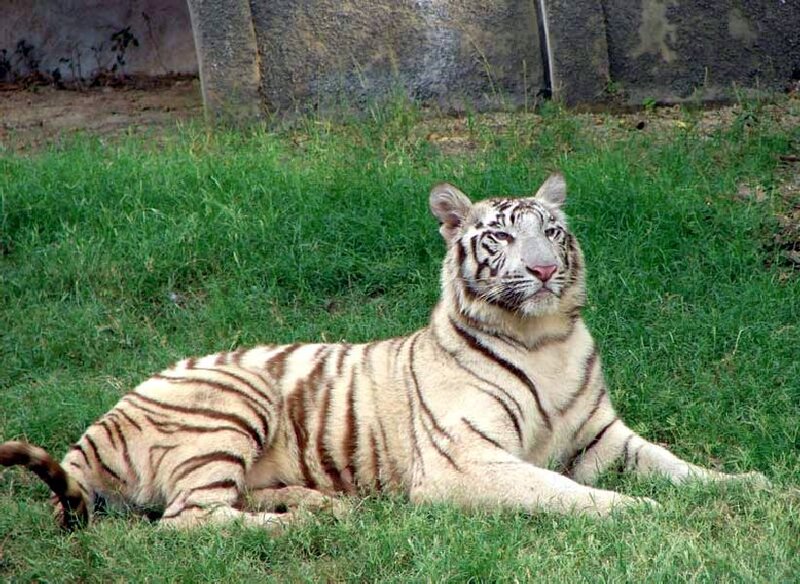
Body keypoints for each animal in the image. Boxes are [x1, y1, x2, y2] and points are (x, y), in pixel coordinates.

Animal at [1, 173, 768, 531]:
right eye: (502, 237)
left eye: (552, 231)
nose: (547, 269)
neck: (543, 337)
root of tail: (97, 426)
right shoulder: (467, 462)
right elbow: (562, 492)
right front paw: (635, 512)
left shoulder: (602, 436)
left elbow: (677, 466)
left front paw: (749, 485)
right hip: (235, 396)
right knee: (190, 521)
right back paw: (289, 531)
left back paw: (320, 508)